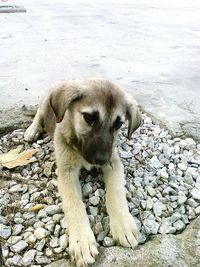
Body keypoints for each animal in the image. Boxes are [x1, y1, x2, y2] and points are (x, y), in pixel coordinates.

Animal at [24, 79, 141, 267]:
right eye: (89, 118)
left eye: (119, 124)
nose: (101, 160)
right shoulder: (66, 171)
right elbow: (74, 203)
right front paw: (82, 241)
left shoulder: (114, 163)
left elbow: (116, 192)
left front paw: (123, 224)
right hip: (44, 103)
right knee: (38, 115)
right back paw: (32, 130)